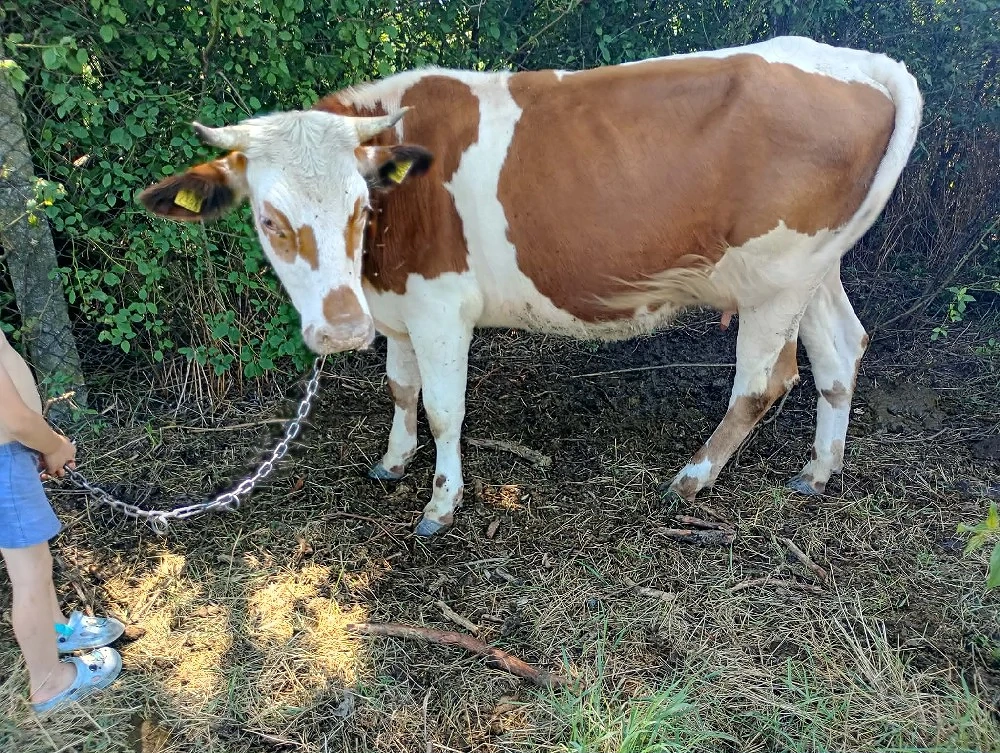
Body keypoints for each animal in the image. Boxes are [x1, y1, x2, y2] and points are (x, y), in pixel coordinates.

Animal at [139, 36, 922, 536]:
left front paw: (441, 503)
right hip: (814, 269)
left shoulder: (440, 306)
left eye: (361, 206)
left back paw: (694, 475)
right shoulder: (399, 307)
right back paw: (818, 469)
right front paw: (393, 461)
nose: (340, 329)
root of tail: (859, 61)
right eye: (270, 219)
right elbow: (401, 388)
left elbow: (446, 408)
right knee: (840, 349)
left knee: (765, 382)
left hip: (777, 277)